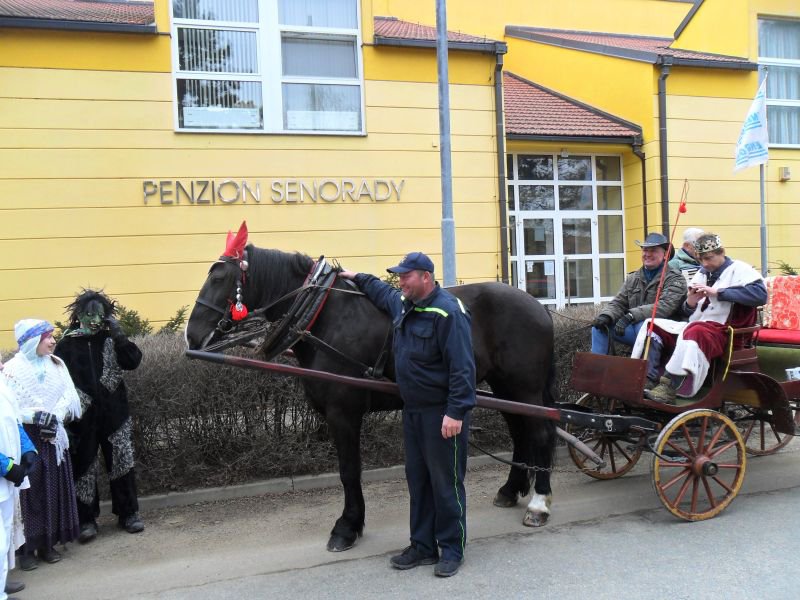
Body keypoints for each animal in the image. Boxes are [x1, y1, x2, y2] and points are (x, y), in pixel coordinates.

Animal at [186, 236, 556, 552]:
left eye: (220, 278)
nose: (192, 335)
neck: (323, 315)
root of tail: (538, 306)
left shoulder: (343, 413)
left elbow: (349, 471)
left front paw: (347, 526)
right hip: (505, 388)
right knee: (521, 432)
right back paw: (511, 489)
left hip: (525, 386)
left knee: (540, 434)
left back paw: (539, 503)